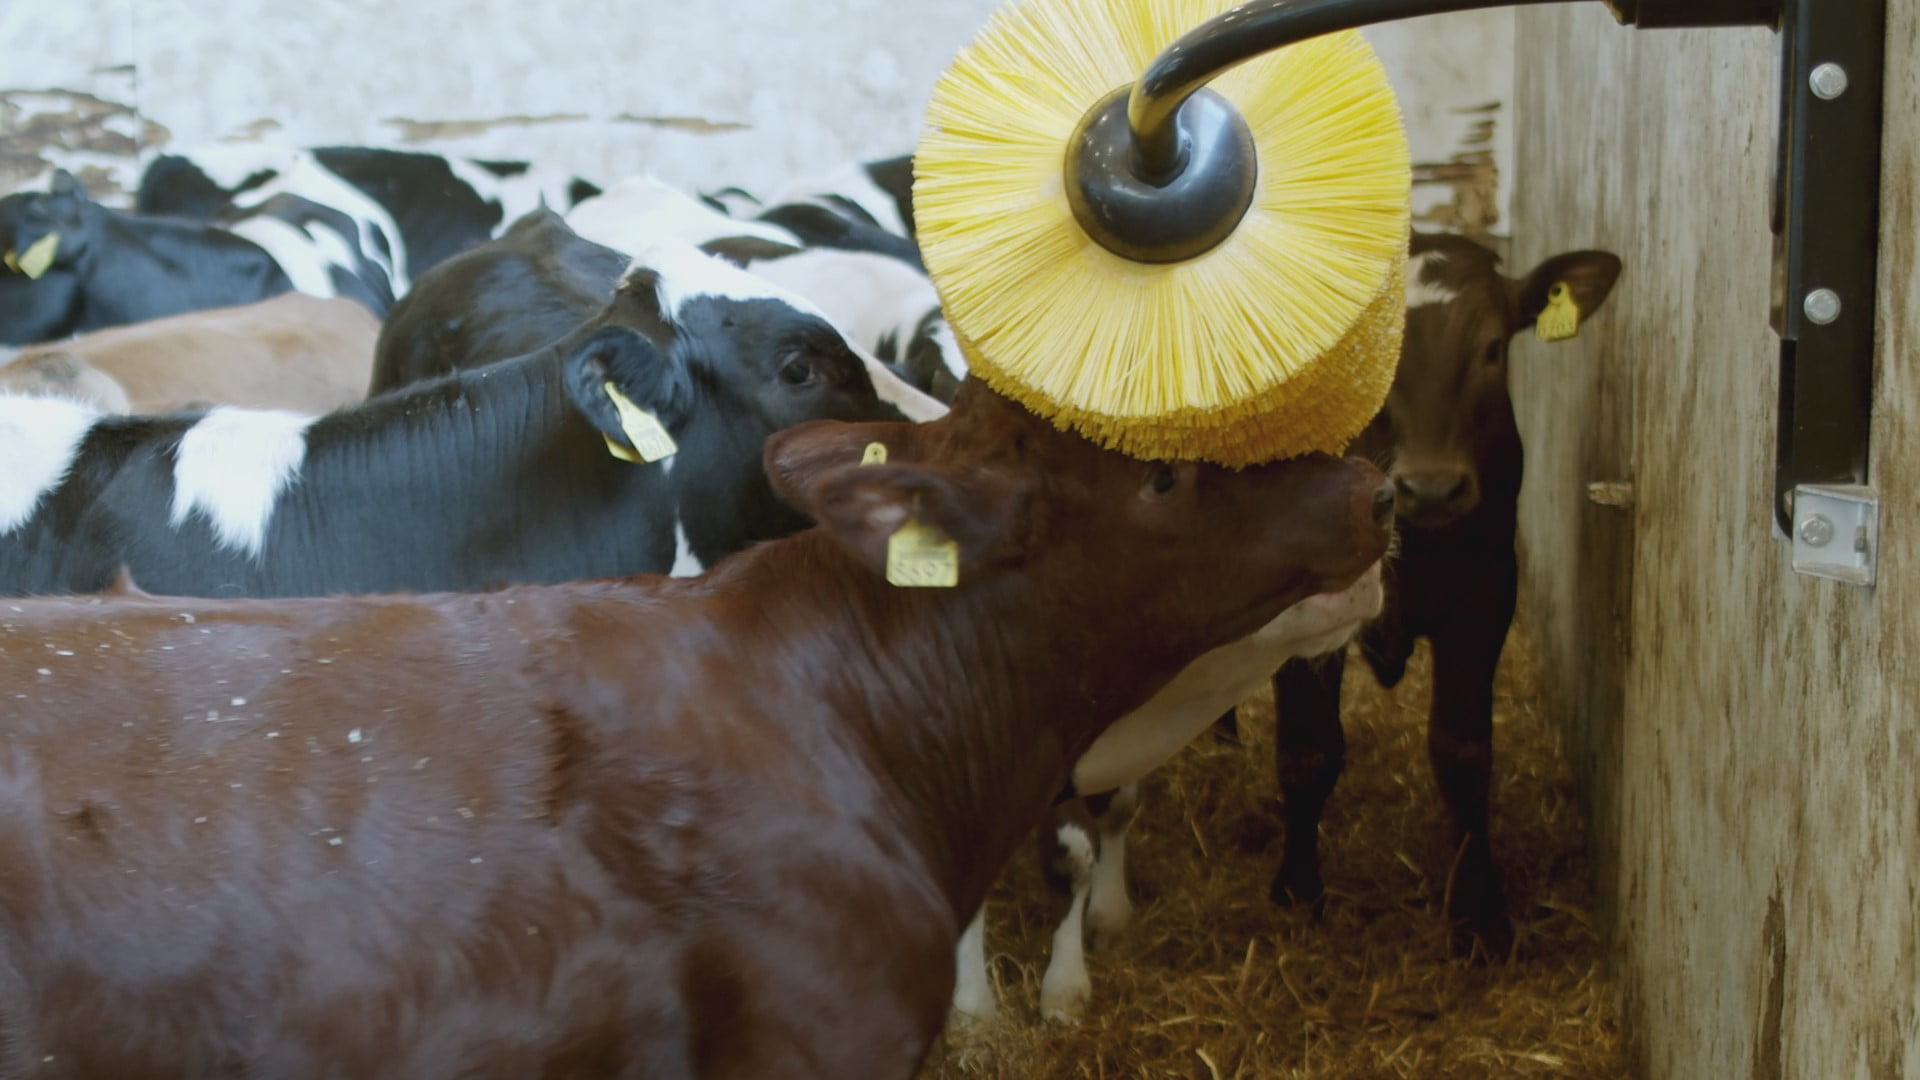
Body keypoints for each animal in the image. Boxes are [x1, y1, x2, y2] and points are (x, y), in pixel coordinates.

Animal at [1268, 232, 1622, 958]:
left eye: (1492, 348)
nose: (1431, 489)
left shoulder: (1484, 599)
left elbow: (1463, 753)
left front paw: (1478, 913)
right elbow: (1308, 751)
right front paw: (1298, 891)